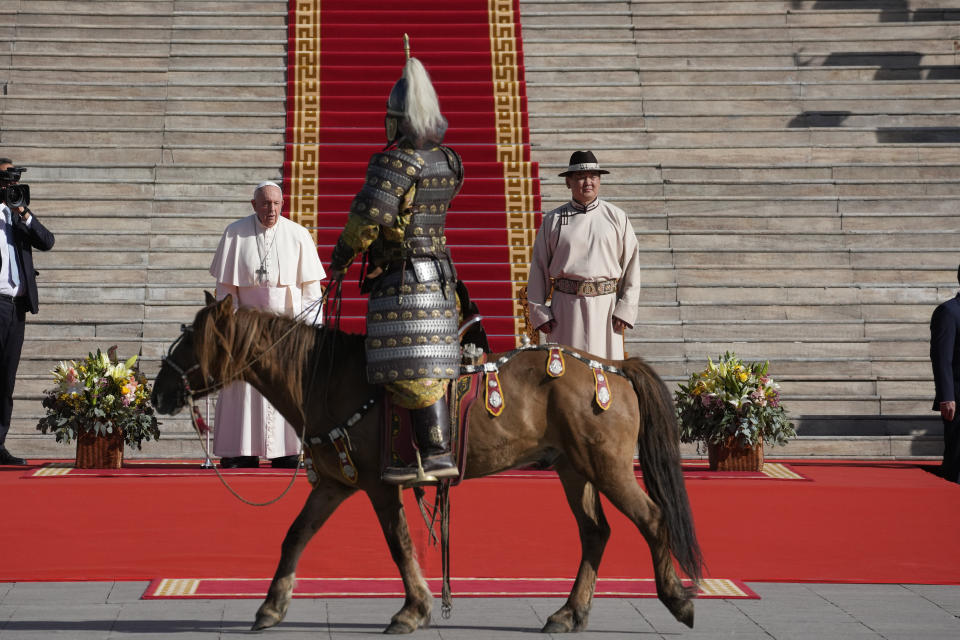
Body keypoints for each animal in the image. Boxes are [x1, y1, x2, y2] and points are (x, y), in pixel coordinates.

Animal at [152, 296, 704, 636]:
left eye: (190, 342)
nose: (159, 393)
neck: (329, 377)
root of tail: (612, 366)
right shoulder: (334, 483)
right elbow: (295, 535)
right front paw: (271, 605)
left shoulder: (378, 485)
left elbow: (399, 543)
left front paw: (413, 609)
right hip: (573, 469)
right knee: (595, 533)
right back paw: (569, 613)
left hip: (606, 466)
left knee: (652, 519)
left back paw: (677, 599)